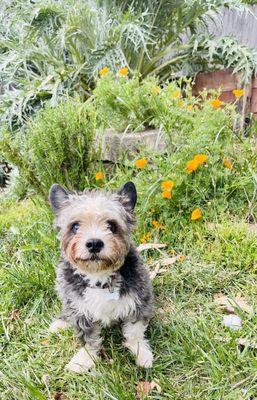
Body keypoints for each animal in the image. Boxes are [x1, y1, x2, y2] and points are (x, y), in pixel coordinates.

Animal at [48, 181, 153, 372]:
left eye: (111, 225)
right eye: (75, 226)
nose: (94, 243)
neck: (99, 276)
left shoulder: (139, 302)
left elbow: (134, 332)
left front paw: (141, 353)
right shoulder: (80, 311)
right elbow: (88, 339)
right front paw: (84, 359)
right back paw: (60, 323)